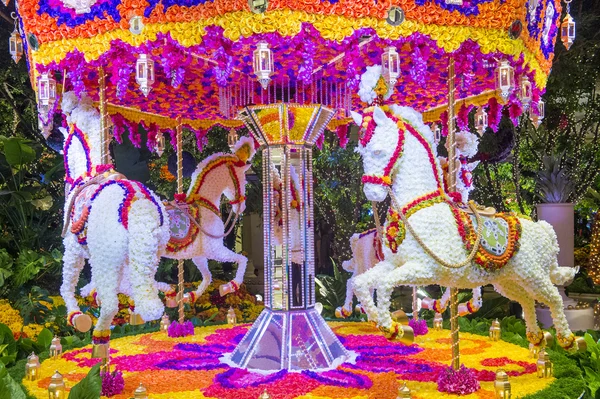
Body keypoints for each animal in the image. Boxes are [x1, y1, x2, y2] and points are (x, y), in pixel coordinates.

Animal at [352, 104, 580, 354]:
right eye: (362, 153)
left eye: (378, 152)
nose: (372, 193)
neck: (419, 208)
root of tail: (544, 230)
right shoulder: (393, 263)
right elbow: (360, 283)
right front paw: (380, 321)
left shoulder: (425, 268)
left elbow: (384, 284)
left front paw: (392, 327)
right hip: (507, 280)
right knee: (526, 300)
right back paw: (536, 337)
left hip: (533, 274)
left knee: (554, 298)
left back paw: (568, 340)